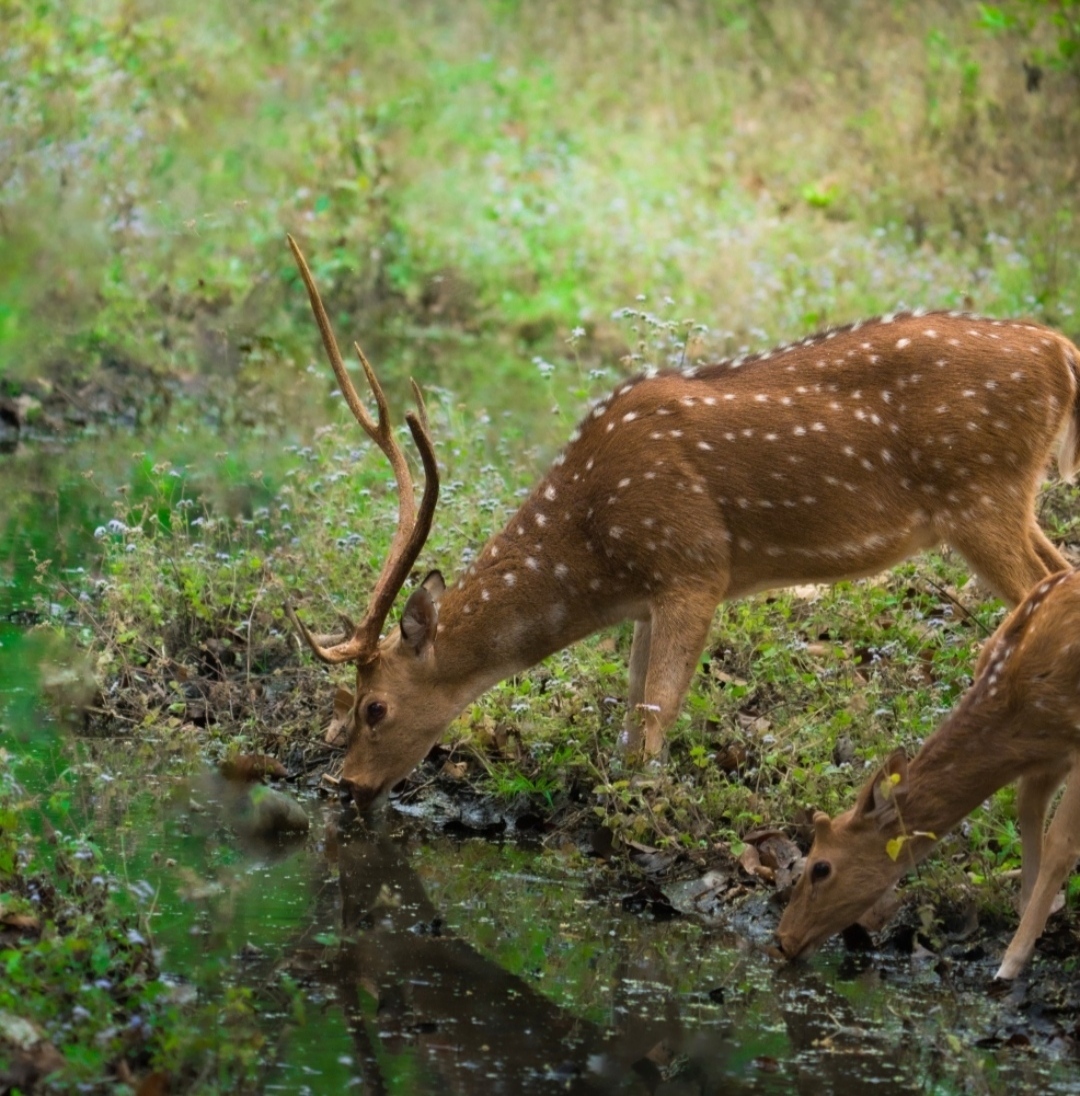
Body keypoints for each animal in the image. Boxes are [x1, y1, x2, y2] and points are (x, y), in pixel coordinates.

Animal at [283, 233, 1080, 815]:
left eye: (375, 707)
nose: (345, 786)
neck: (593, 550)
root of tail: (1061, 353)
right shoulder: (646, 598)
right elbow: (628, 719)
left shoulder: (694, 565)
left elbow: (652, 727)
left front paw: (634, 818)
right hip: (1009, 497)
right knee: (1062, 573)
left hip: (981, 494)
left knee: (1041, 591)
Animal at [777, 567, 1080, 979]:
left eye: (821, 868)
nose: (783, 940)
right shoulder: (1048, 756)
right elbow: (1030, 818)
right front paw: (1031, 932)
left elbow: (1060, 845)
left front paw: (1009, 965)